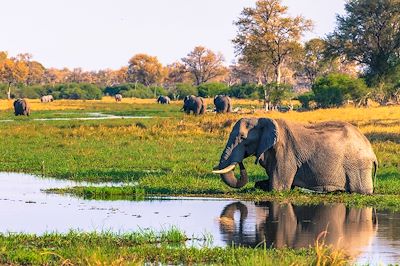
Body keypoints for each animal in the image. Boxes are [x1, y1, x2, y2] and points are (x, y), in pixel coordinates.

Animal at [212, 117, 378, 194]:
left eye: (242, 138)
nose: (240, 162)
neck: (265, 119)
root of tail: (371, 151)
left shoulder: (285, 152)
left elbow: (277, 188)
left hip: (358, 165)